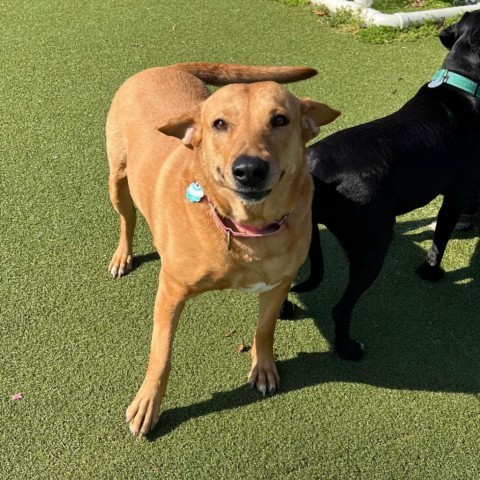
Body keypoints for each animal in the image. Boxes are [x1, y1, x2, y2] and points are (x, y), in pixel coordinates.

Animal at [105, 63, 340, 438]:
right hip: (117, 178)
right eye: (219, 123)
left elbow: (264, 330)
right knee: (127, 218)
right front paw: (148, 403)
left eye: (280, 120)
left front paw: (263, 367)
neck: (245, 229)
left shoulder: (278, 284)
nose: (249, 169)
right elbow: (161, 353)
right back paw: (122, 256)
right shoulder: (170, 291)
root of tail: (165, 67)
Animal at [282, 12, 480, 360]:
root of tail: (316, 169)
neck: (460, 81)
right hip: (371, 246)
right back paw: (349, 349)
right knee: (341, 309)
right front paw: (431, 273)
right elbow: (441, 237)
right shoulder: (455, 194)